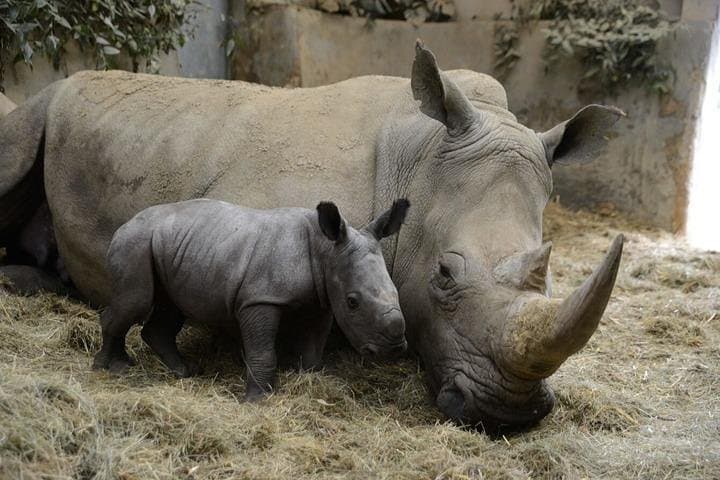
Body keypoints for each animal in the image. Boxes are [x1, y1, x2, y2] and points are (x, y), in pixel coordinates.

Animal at [94, 198, 409, 399]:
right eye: (353, 302)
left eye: (397, 292)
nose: (393, 350)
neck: (326, 251)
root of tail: (123, 224)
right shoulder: (260, 298)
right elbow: (262, 349)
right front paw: (258, 399)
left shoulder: (321, 302)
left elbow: (313, 347)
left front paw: (310, 378)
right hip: (134, 243)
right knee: (135, 301)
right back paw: (112, 368)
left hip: (169, 247)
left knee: (169, 307)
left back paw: (185, 371)